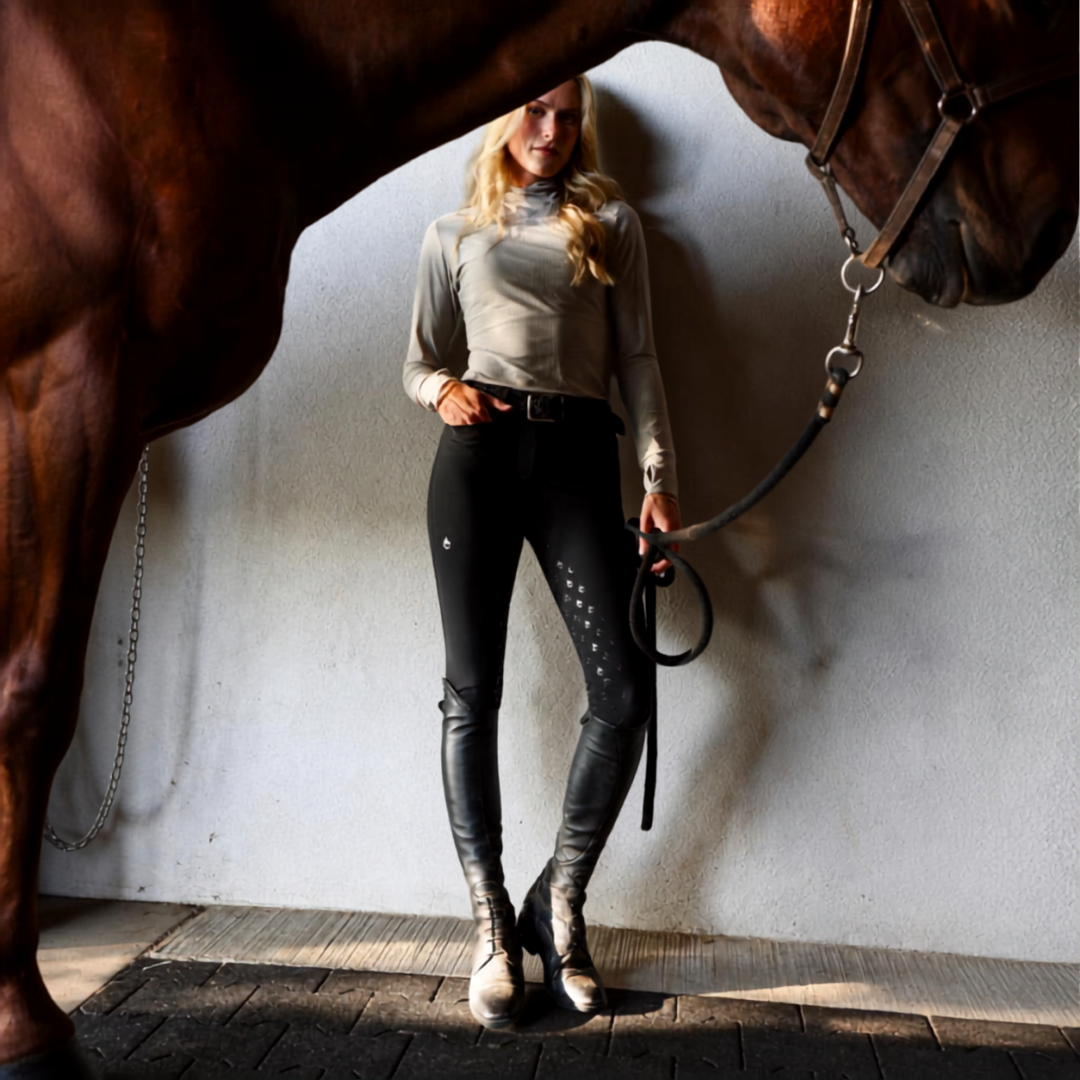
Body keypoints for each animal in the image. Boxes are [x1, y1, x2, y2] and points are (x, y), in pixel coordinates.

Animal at [1, 0, 1075, 1070]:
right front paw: (29, 1024)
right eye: (1003, 8)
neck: (230, 55)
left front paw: (562, 944)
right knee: (467, 713)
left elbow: (618, 686)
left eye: (567, 117)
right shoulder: (69, 389)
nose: (1049, 224)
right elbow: (36, 698)